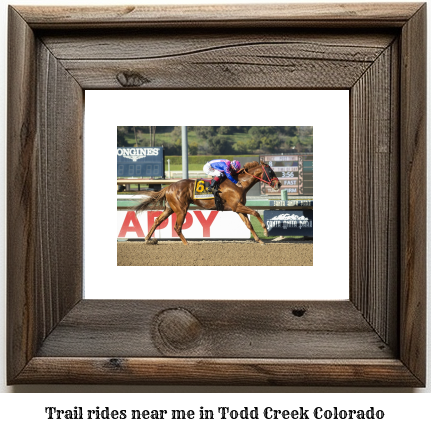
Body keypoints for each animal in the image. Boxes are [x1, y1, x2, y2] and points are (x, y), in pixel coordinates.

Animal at [136, 161, 284, 245]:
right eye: (270, 171)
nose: (279, 184)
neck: (239, 184)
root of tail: (168, 187)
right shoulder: (237, 206)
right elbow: (255, 212)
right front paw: (266, 232)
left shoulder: (237, 208)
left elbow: (248, 224)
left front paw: (259, 240)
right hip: (181, 209)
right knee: (177, 227)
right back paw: (187, 244)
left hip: (170, 209)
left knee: (157, 220)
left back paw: (147, 239)